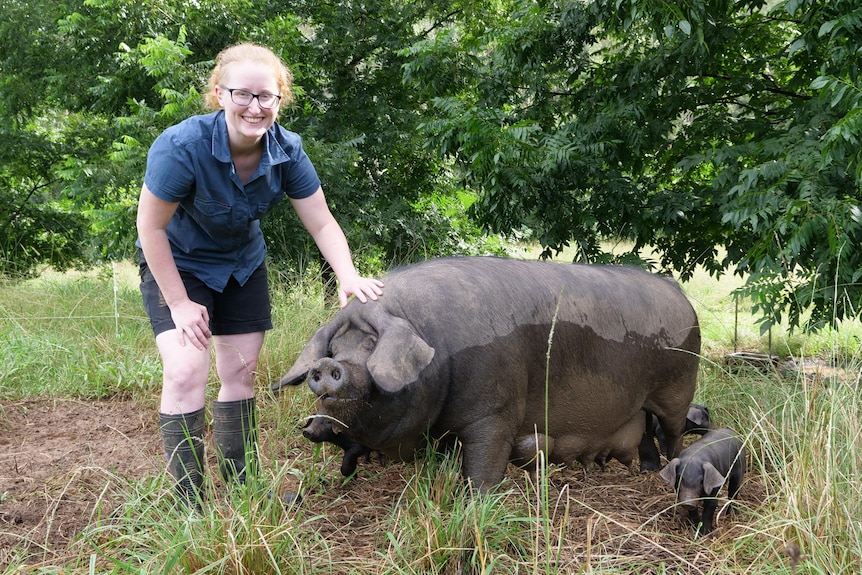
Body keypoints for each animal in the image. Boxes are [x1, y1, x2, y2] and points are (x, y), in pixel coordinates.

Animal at [276, 256, 704, 490]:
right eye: (334, 349)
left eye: (370, 346)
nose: (326, 367)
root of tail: (680, 294)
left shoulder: (496, 410)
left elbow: (484, 466)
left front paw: (475, 504)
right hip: (645, 402)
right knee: (644, 432)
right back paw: (647, 470)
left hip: (678, 386)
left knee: (672, 431)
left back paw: (667, 472)